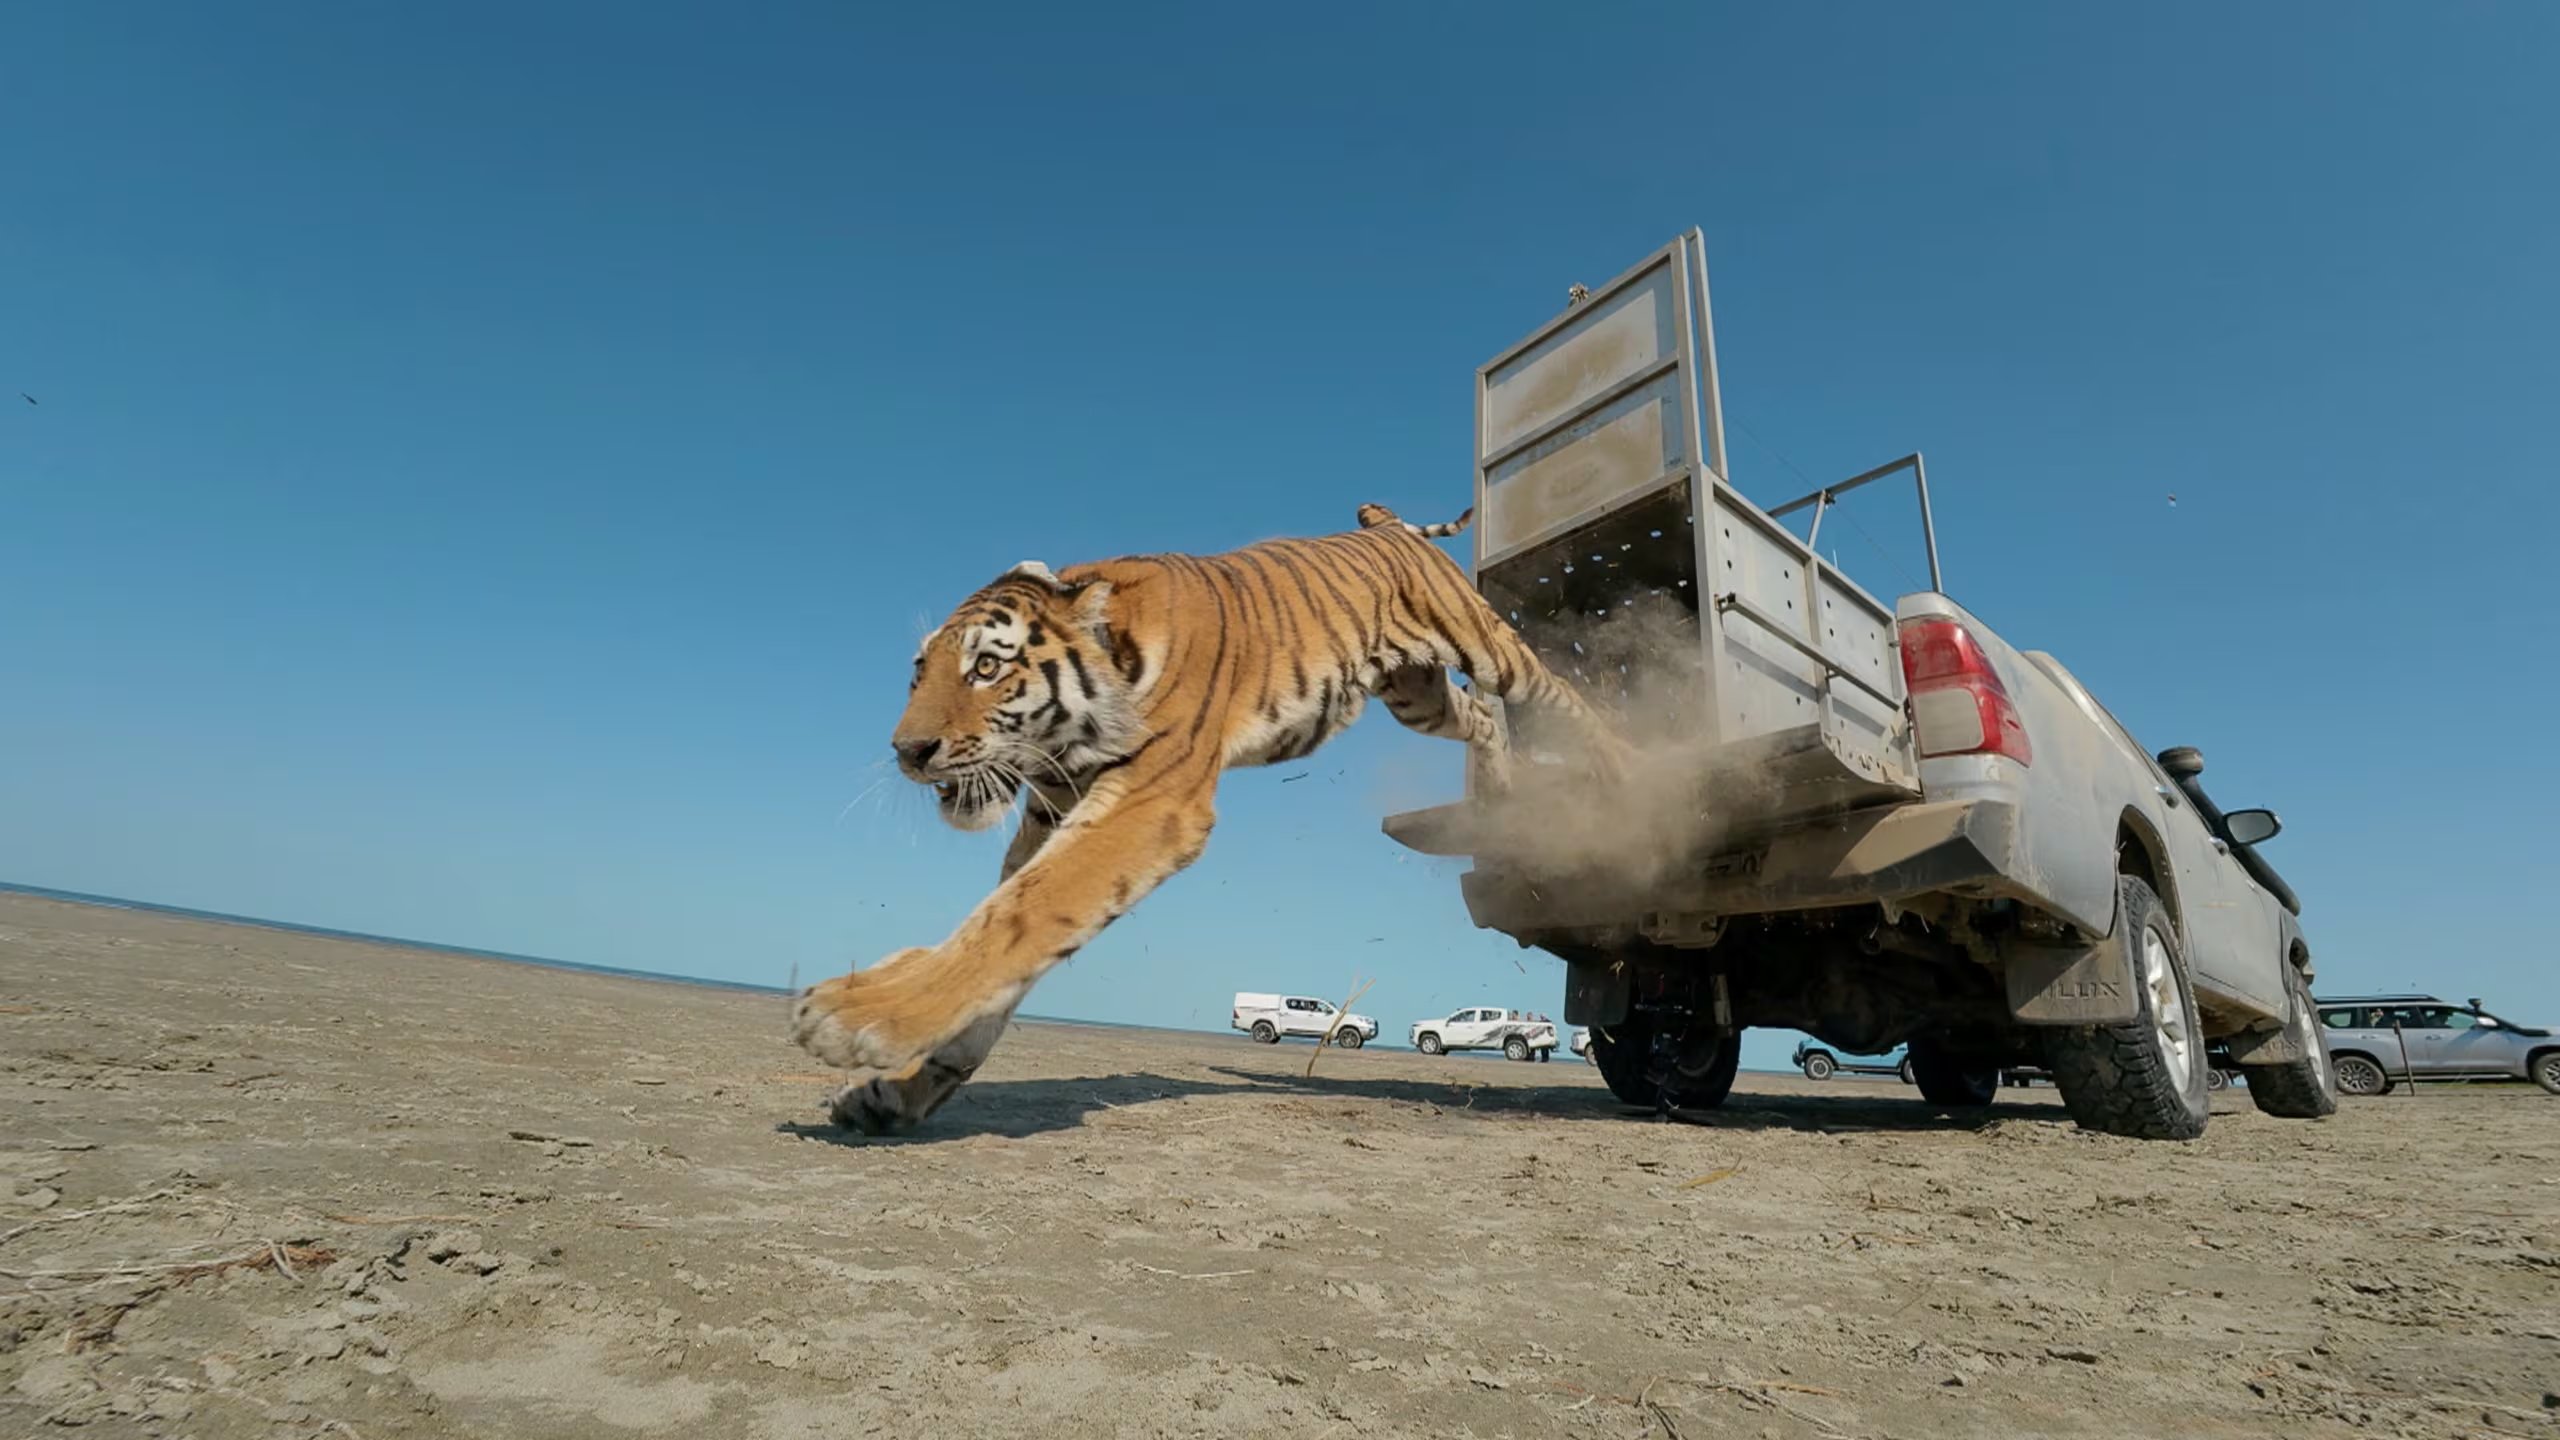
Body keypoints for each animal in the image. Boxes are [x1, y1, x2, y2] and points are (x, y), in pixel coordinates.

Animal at [789, 501, 1630, 1134]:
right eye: (918, 672)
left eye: (987, 667)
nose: (908, 751)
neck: (1069, 736)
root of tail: (1386, 525)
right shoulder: (1050, 815)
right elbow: (1005, 933)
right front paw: (897, 1091)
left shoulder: (1151, 802)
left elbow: (1019, 915)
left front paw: (858, 1015)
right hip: (1415, 691)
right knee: (1481, 718)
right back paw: (1498, 798)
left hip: (1481, 641)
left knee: (1553, 694)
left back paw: (1621, 770)